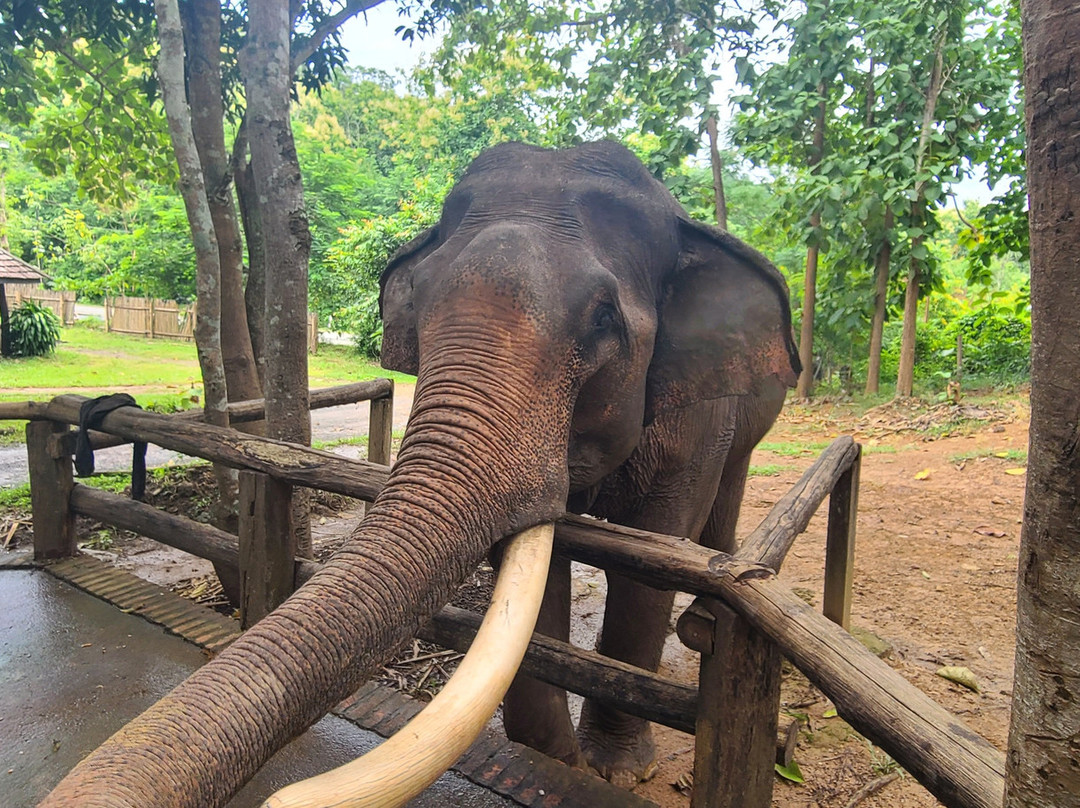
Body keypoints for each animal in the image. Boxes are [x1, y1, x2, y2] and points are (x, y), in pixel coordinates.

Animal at [41, 140, 799, 807]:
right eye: (418, 305)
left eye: (604, 321)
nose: (283, 795)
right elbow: (545, 565)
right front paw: (551, 762)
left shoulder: (697, 411)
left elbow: (649, 561)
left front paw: (615, 773)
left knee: (725, 494)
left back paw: (706, 610)